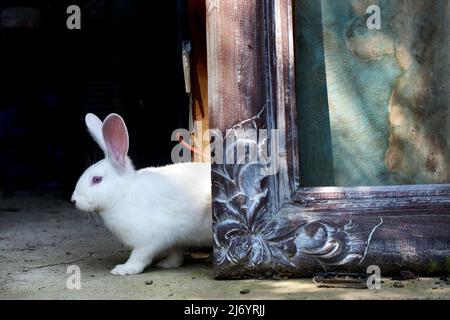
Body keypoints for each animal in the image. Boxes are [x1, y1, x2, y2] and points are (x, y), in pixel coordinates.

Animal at [71, 112, 212, 276]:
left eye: (97, 179)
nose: (74, 200)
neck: (124, 194)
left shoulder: (150, 239)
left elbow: (139, 256)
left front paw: (124, 269)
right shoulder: (175, 239)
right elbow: (175, 253)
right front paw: (167, 264)